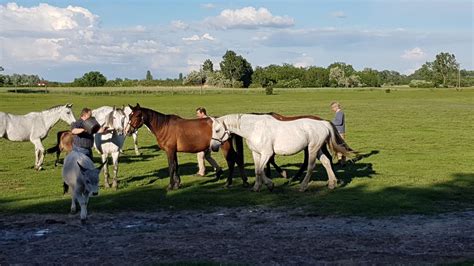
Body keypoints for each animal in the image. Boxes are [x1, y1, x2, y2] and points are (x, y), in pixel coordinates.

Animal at [211, 113, 356, 192]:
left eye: (217, 130)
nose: (213, 147)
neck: (254, 129)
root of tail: (323, 123)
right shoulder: (256, 154)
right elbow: (257, 170)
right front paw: (256, 187)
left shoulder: (267, 153)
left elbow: (260, 170)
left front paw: (270, 184)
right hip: (318, 148)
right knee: (326, 162)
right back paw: (332, 184)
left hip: (312, 149)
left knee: (311, 166)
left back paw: (303, 186)